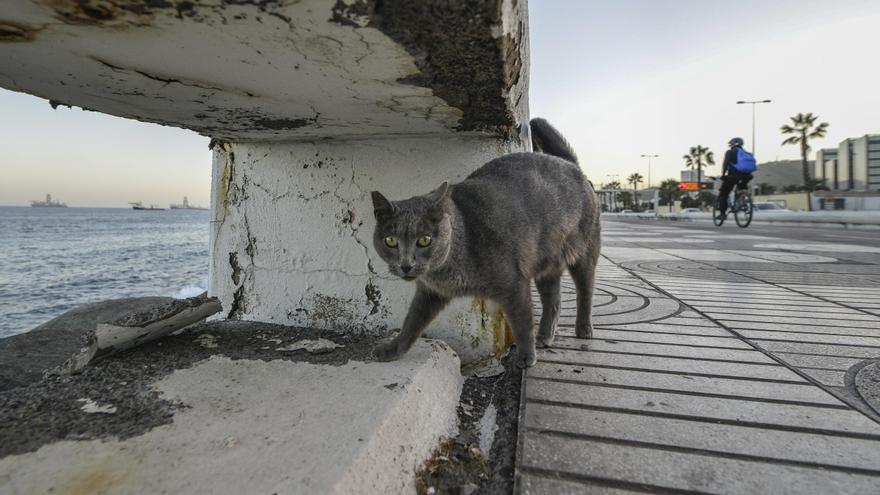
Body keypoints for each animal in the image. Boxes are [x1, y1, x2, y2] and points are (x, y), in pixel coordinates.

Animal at [368, 118, 600, 368]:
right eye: (390, 240)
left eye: (424, 240)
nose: (406, 265)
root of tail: (572, 166)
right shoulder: (429, 293)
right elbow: (411, 322)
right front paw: (393, 349)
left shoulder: (514, 284)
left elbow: (522, 322)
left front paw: (526, 356)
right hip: (546, 263)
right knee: (553, 300)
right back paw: (545, 336)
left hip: (585, 252)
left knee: (585, 291)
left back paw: (583, 329)